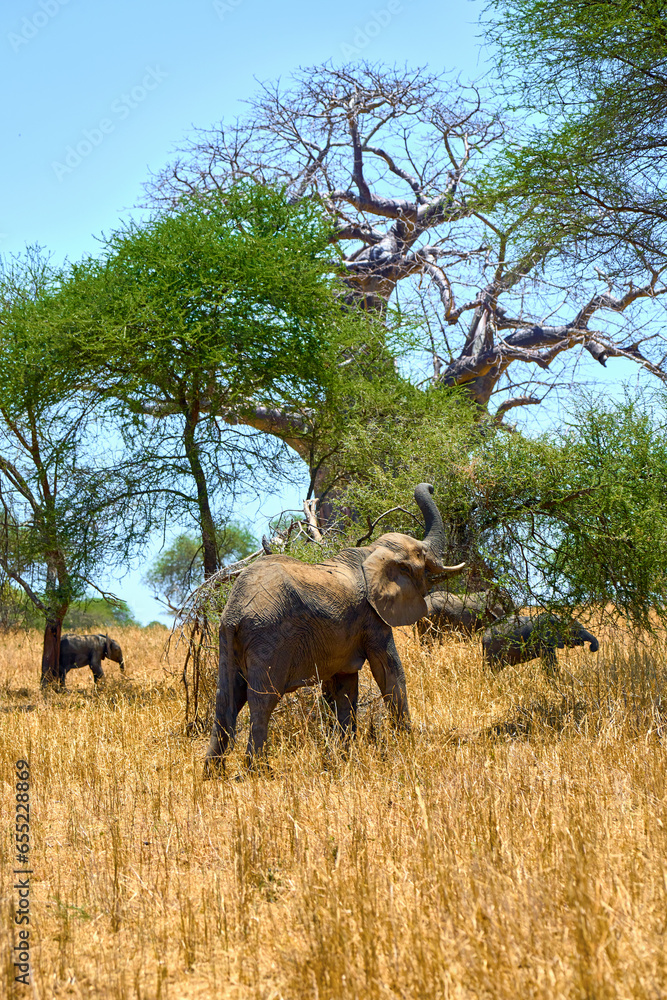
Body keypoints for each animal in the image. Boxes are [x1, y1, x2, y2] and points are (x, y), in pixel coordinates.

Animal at [205, 483, 465, 771]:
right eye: (421, 556)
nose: (431, 486)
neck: (372, 552)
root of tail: (235, 609)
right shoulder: (372, 617)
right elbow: (388, 670)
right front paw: (408, 746)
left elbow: (346, 688)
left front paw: (344, 758)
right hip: (268, 637)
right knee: (263, 701)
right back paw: (259, 772)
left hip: (227, 638)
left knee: (226, 700)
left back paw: (213, 774)